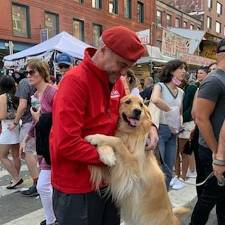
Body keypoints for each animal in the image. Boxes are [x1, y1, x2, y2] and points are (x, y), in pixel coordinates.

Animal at [85, 95, 188, 225]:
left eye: (141, 105)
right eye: (128, 101)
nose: (138, 111)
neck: (130, 133)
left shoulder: (133, 168)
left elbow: (117, 141)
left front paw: (96, 137)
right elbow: (113, 142)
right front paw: (106, 154)